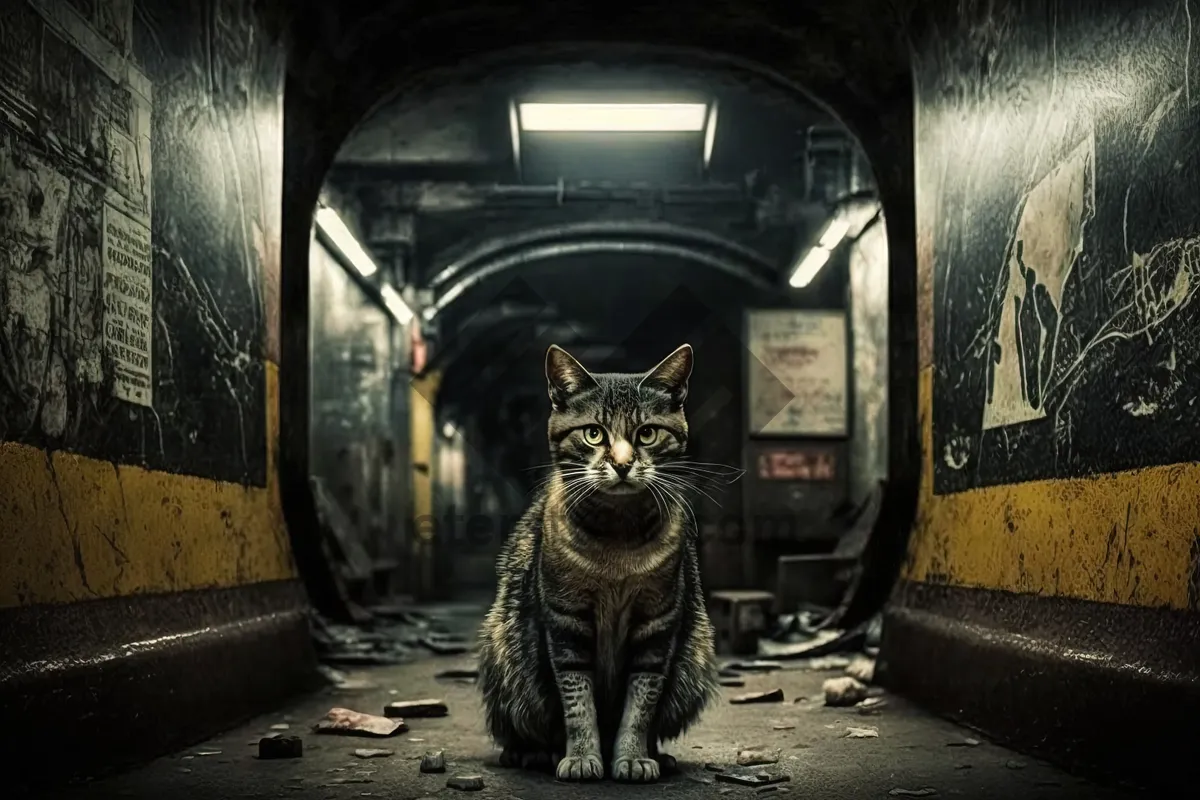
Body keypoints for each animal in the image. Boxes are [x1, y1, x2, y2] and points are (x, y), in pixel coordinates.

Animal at [475, 343, 720, 782]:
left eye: (647, 433)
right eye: (593, 433)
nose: (622, 464)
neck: (617, 541)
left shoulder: (657, 626)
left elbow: (641, 704)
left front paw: (634, 757)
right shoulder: (566, 621)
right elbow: (577, 702)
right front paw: (581, 757)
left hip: (696, 657)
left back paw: (658, 755)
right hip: (502, 653)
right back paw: (531, 753)